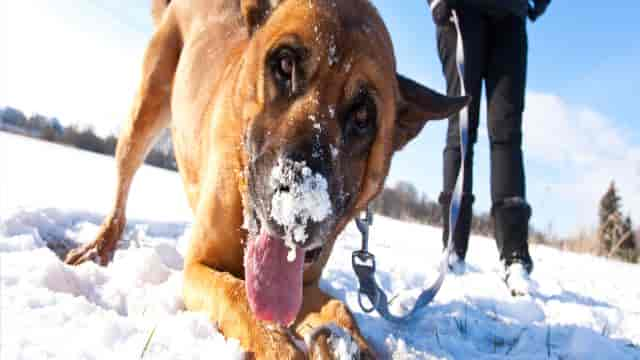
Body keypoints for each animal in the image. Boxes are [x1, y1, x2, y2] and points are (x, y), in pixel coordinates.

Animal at [65, 0, 468, 358]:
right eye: (284, 64)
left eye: (363, 116)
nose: (299, 211)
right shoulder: (198, 267)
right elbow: (239, 297)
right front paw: (281, 346)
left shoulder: (304, 283)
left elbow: (339, 308)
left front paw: (349, 345)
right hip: (143, 114)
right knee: (122, 186)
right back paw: (100, 245)